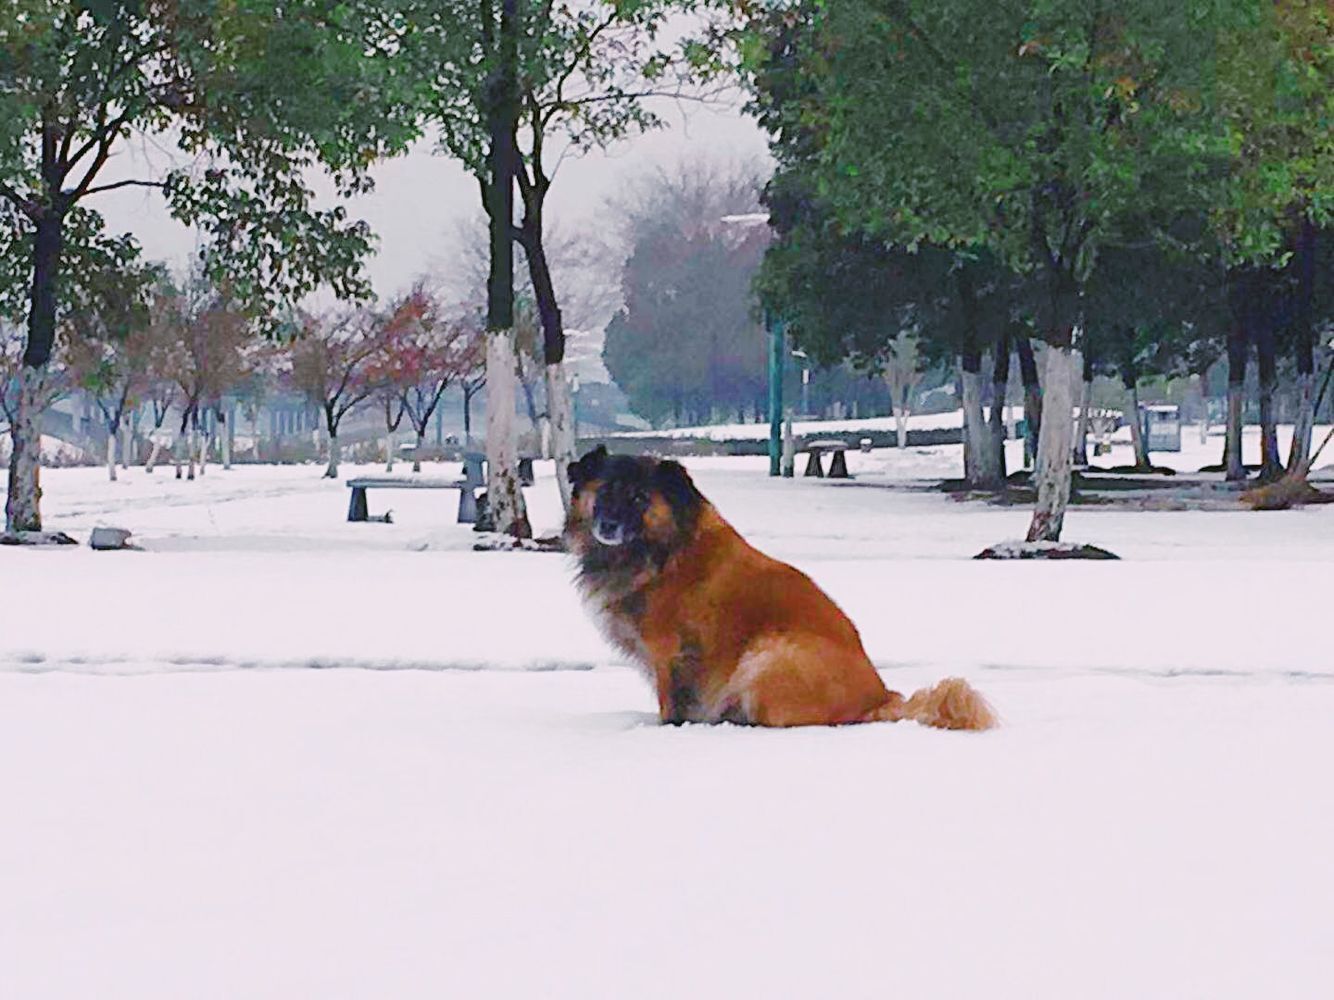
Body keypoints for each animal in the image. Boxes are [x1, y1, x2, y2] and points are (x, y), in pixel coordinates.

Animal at [565, 450, 1003, 730]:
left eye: (639, 498)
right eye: (605, 492)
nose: (608, 525)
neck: (662, 547)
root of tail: (880, 699)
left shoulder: (669, 655)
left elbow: (671, 702)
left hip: (767, 655)